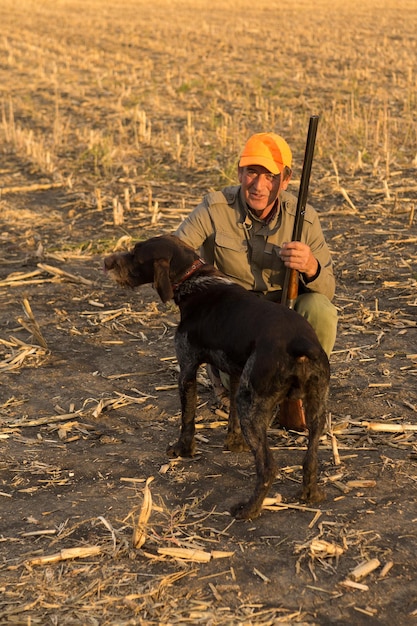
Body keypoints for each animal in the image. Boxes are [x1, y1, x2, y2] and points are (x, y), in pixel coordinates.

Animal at [103, 233, 328, 516]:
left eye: (135, 254)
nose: (106, 262)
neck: (193, 280)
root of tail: (301, 343)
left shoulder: (187, 368)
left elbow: (187, 419)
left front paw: (182, 449)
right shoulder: (236, 374)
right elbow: (231, 417)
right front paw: (233, 443)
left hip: (252, 405)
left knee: (268, 467)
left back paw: (249, 510)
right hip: (315, 407)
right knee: (311, 458)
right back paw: (311, 494)